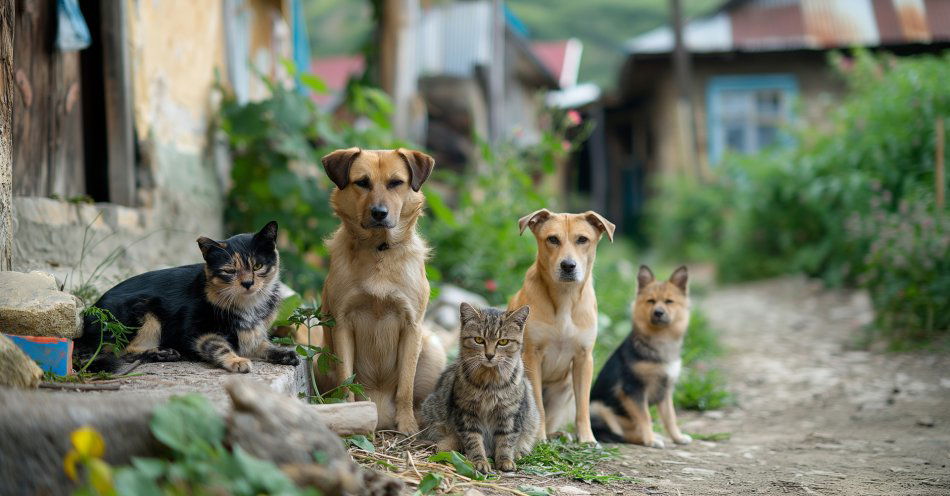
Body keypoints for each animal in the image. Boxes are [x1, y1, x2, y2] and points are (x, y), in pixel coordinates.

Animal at [75, 221, 298, 372]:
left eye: (257, 266)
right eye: (229, 271)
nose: (248, 283)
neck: (249, 305)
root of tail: (90, 312)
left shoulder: (252, 334)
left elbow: (264, 345)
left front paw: (285, 354)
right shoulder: (196, 332)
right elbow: (218, 346)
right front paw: (237, 361)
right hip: (144, 312)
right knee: (121, 350)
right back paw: (163, 353)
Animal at [314, 147, 444, 434]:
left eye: (396, 183)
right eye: (362, 182)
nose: (379, 213)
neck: (378, 249)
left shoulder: (411, 327)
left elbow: (405, 386)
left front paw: (407, 424)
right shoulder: (342, 325)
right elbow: (347, 380)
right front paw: (351, 414)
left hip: (432, 348)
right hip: (321, 360)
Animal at [420, 302, 540, 472]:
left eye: (503, 342)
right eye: (478, 340)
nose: (489, 355)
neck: (489, 382)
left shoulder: (510, 414)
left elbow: (506, 440)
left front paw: (505, 460)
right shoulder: (465, 413)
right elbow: (474, 441)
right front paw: (479, 461)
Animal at [510, 208, 620, 442]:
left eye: (582, 239)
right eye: (553, 239)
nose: (568, 266)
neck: (565, 298)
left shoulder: (584, 359)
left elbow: (583, 406)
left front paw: (587, 439)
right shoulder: (532, 356)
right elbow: (539, 406)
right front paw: (539, 437)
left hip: (564, 388)